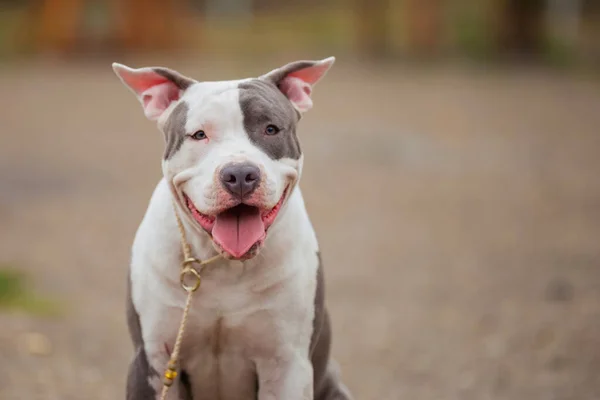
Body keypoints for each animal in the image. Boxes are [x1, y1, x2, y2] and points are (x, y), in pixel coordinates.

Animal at [112, 57, 352, 400]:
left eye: (270, 129)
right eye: (199, 134)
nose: (240, 174)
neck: (223, 264)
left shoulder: (287, 365)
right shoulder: (153, 359)